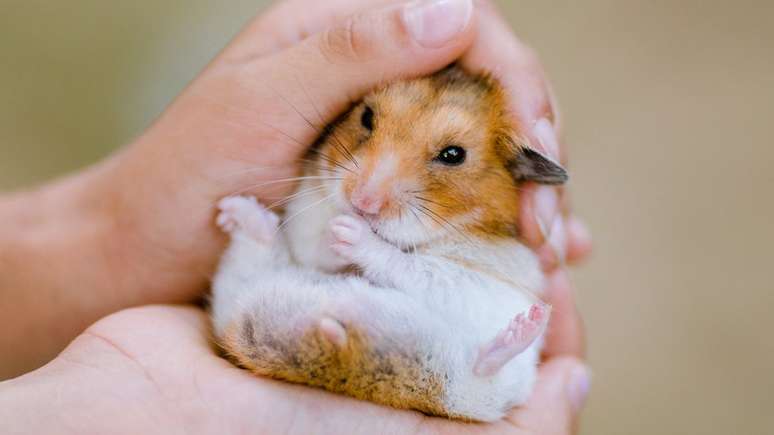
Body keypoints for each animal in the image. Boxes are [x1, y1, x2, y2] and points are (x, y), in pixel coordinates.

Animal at [211, 65, 568, 422]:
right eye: (366, 117)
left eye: (454, 155)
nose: (361, 202)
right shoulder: (305, 218)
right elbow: (315, 246)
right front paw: (337, 229)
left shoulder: (477, 280)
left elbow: (410, 265)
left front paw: (347, 231)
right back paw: (237, 213)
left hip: (484, 385)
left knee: (483, 369)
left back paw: (527, 325)